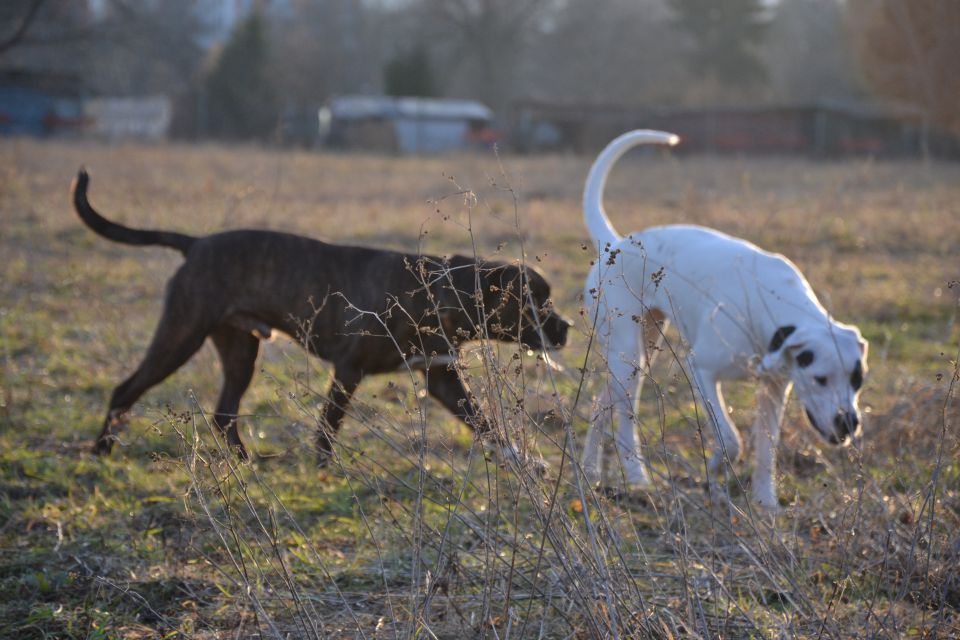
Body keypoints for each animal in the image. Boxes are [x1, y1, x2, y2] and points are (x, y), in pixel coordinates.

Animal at [576, 131, 872, 510]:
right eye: (820, 379)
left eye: (858, 380)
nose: (849, 424)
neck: (763, 303)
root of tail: (615, 243)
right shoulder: (702, 370)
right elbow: (731, 438)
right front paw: (717, 464)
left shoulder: (775, 387)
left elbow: (766, 450)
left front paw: (765, 501)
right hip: (629, 357)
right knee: (623, 418)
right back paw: (637, 476)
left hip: (638, 352)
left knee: (601, 402)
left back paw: (591, 470)